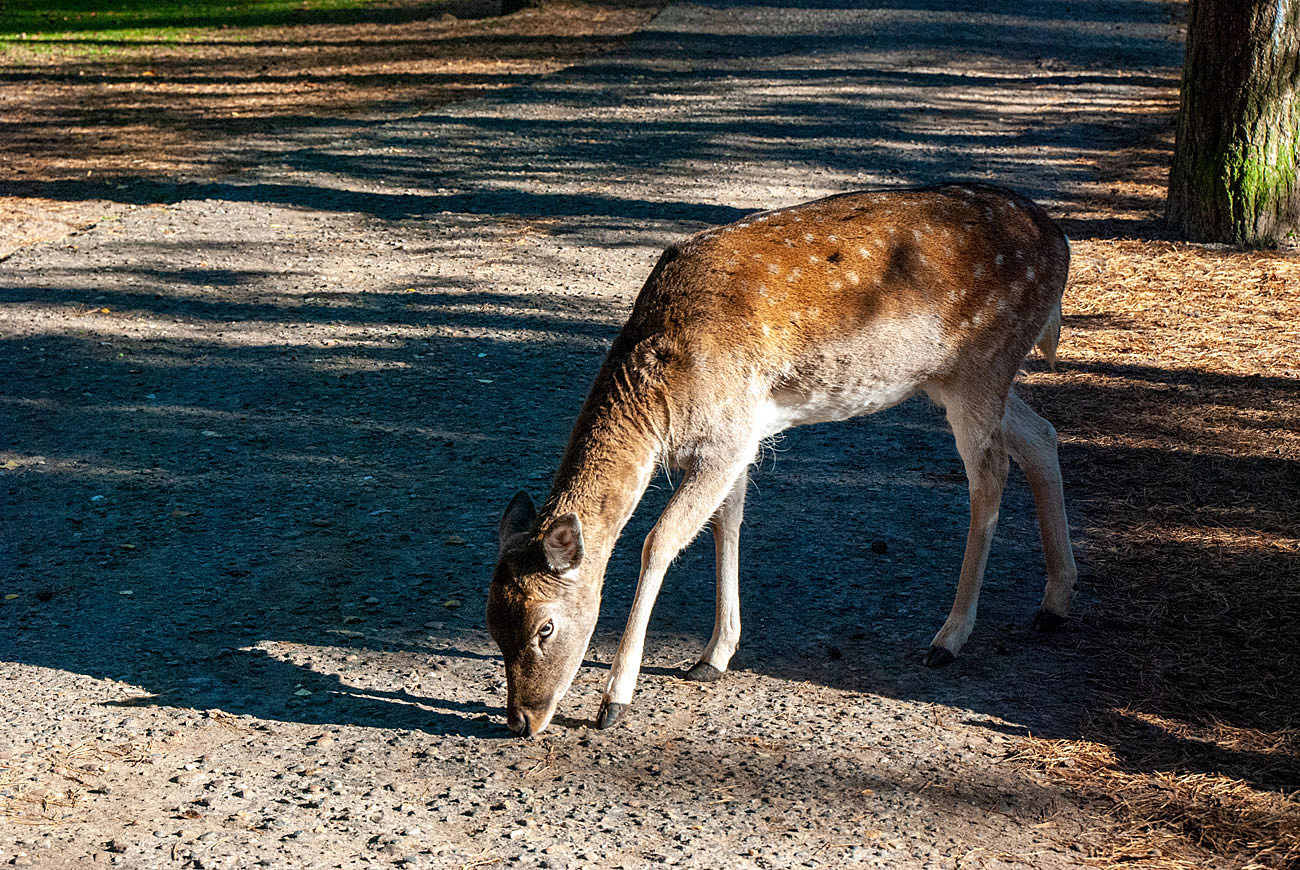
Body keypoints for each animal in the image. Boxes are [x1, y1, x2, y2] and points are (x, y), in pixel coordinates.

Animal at [488, 182, 1076, 733]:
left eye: (545, 627)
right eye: (492, 622)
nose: (521, 720)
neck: (660, 402)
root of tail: (1061, 244)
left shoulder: (726, 438)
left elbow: (660, 542)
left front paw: (615, 700)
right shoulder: (737, 441)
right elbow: (727, 525)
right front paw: (714, 656)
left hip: (982, 367)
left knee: (992, 476)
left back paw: (949, 637)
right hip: (958, 380)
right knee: (1042, 436)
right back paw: (1054, 603)